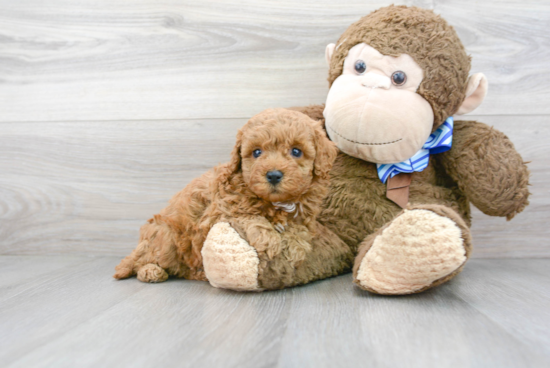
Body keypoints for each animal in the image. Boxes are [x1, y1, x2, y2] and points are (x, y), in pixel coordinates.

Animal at [113, 108, 338, 284]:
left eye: (296, 151)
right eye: (257, 152)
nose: (273, 175)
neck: (277, 203)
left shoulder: (304, 216)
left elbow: (299, 230)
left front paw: (296, 246)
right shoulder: (215, 215)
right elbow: (247, 216)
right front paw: (269, 240)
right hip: (165, 237)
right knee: (145, 261)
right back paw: (151, 271)